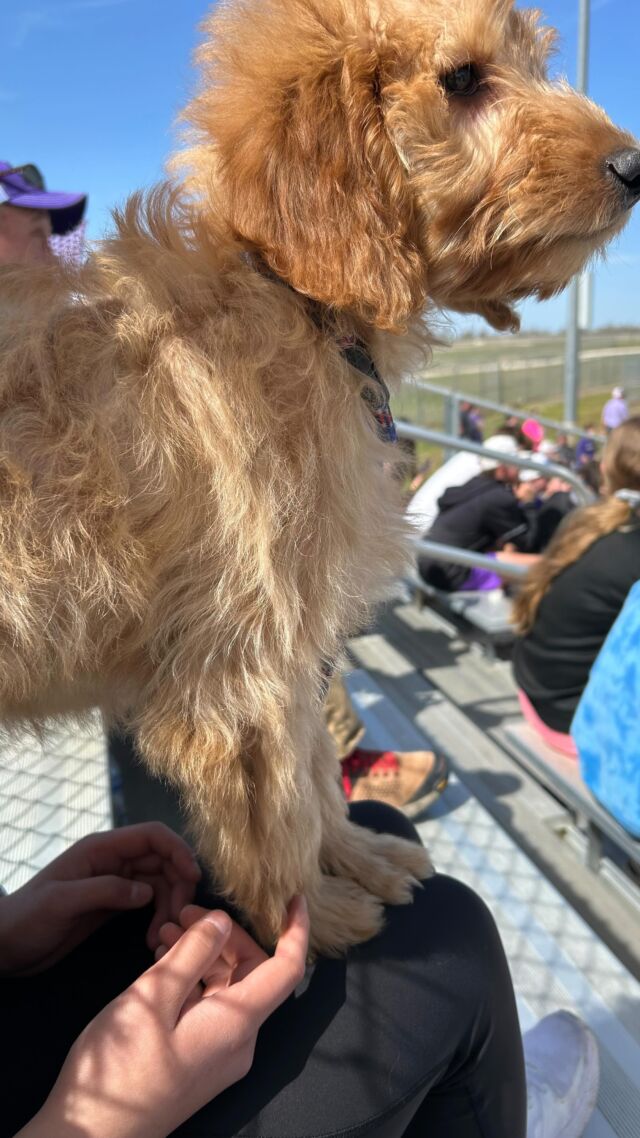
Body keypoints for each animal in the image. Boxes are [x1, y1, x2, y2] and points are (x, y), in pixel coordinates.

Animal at [0, 0, 633, 951]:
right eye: (462, 79)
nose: (635, 164)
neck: (295, 300)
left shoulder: (293, 649)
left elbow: (313, 770)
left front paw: (358, 858)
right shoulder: (243, 660)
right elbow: (281, 810)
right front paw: (314, 920)